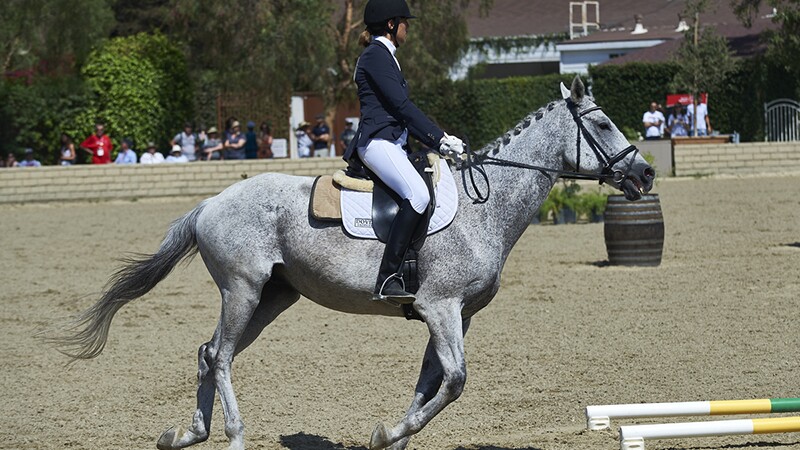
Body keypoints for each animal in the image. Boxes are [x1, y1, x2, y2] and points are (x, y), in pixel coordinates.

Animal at [50, 77, 656, 450]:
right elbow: (455, 381)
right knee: (219, 356)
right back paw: (235, 435)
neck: (485, 206)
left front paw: (394, 435)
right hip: (242, 290)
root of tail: (211, 202)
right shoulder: (440, 307)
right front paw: (388, 433)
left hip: (272, 297)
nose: (646, 174)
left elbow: (431, 381)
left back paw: (186, 435)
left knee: (207, 352)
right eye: (603, 125)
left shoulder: (453, 315)